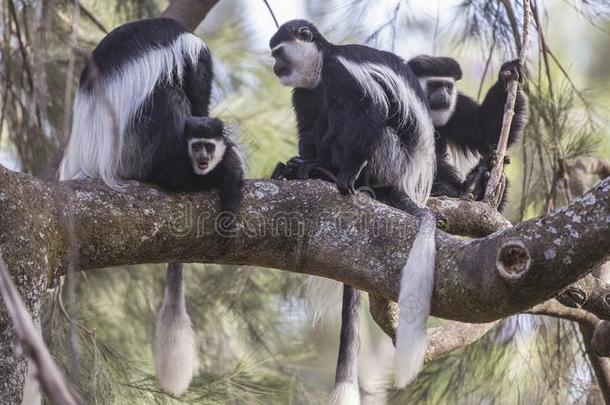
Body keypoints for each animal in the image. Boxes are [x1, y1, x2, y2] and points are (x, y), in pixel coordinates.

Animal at [58, 18, 243, 394]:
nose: (202, 155)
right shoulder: (191, 54)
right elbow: (194, 96)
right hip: (135, 149)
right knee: (169, 98)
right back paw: (184, 177)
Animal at [268, 19, 434, 400]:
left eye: (279, 52)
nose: (276, 68)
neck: (319, 67)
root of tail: (399, 183)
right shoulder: (304, 94)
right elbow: (309, 127)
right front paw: (300, 164)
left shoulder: (340, 73)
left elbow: (369, 112)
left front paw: (343, 174)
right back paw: (313, 169)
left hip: (390, 159)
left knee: (366, 123)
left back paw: (338, 175)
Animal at [408, 54, 528, 207]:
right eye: (434, 85)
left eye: (448, 86)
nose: (443, 96)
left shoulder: (458, 106)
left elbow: (483, 131)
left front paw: (507, 73)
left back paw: (479, 180)